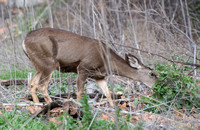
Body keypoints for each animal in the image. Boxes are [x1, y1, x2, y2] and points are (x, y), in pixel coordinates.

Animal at [22, 27, 157, 106]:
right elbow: (79, 92)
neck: (107, 61)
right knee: (41, 86)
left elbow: (107, 93)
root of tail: (24, 41)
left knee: (32, 84)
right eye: (152, 74)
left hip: (39, 65)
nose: (157, 86)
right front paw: (77, 108)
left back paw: (37, 107)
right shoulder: (83, 68)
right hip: (49, 63)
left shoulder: (99, 76)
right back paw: (51, 105)